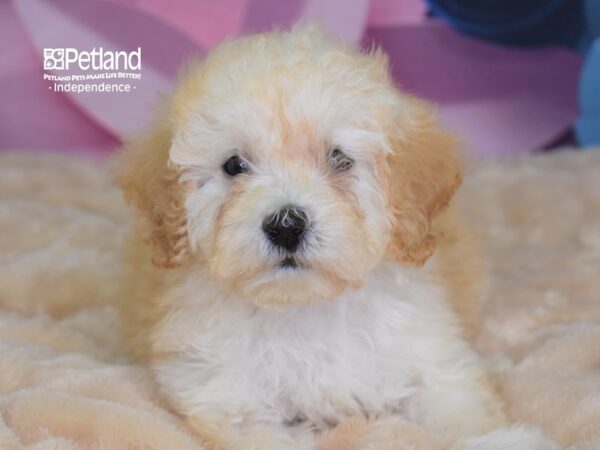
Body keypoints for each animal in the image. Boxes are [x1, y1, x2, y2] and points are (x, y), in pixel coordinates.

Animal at [116, 24, 556, 450]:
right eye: (234, 165)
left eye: (339, 159)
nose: (286, 225)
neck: (306, 309)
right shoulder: (236, 407)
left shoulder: (428, 361)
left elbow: (460, 408)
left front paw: (507, 439)